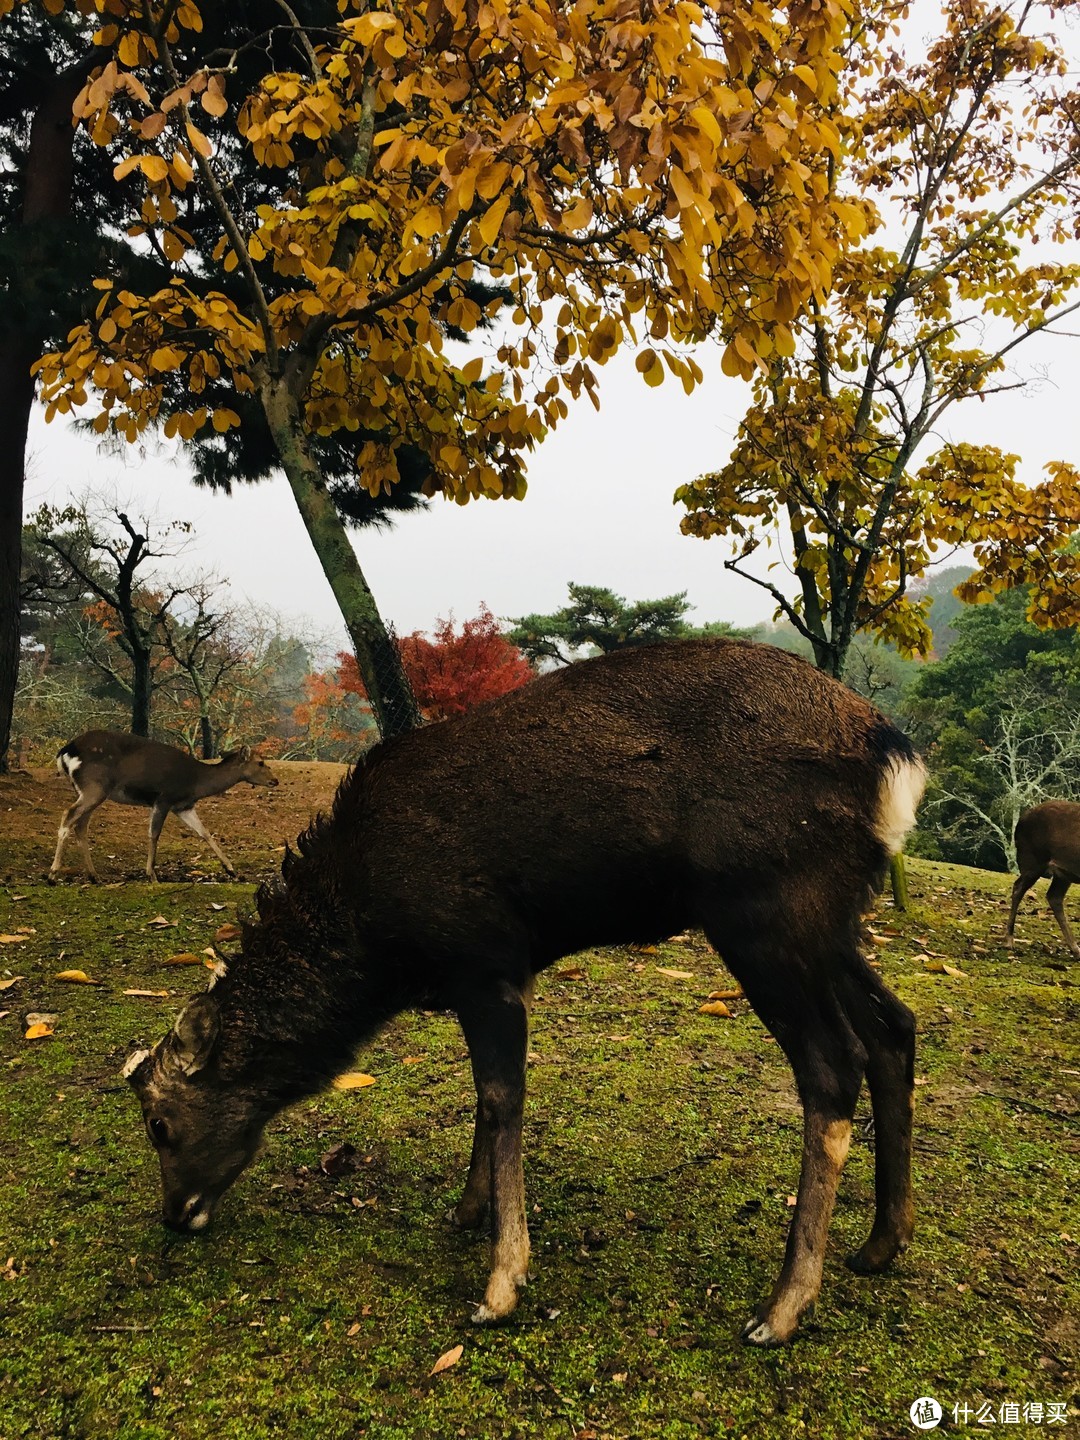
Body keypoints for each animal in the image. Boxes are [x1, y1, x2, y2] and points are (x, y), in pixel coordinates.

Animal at [50, 737, 279, 881]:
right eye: (260, 762)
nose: (275, 780)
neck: (196, 783)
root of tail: (64, 752)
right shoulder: (164, 798)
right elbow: (154, 834)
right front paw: (151, 874)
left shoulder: (183, 806)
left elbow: (204, 833)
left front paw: (232, 870)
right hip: (94, 786)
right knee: (68, 815)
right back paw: (53, 873)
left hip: (89, 790)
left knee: (80, 825)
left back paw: (94, 876)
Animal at [122, 645, 927, 1347]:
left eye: (160, 1124)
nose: (174, 1214)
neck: (379, 947)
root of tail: (895, 756)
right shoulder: (494, 977)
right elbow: (485, 1099)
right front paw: (466, 1210)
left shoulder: (485, 963)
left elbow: (502, 1098)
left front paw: (500, 1284)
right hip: (830, 923)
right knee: (894, 1027)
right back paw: (880, 1244)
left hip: (764, 908)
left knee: (833, 1066)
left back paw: (781, 1309)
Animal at [1008, 800, 1080, 956]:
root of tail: (1021, 821)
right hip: (1032, 859)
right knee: (1018, 887)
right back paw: (1008, 940)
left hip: (1062, 874)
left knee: (1054, 896)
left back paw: (1075, 949)